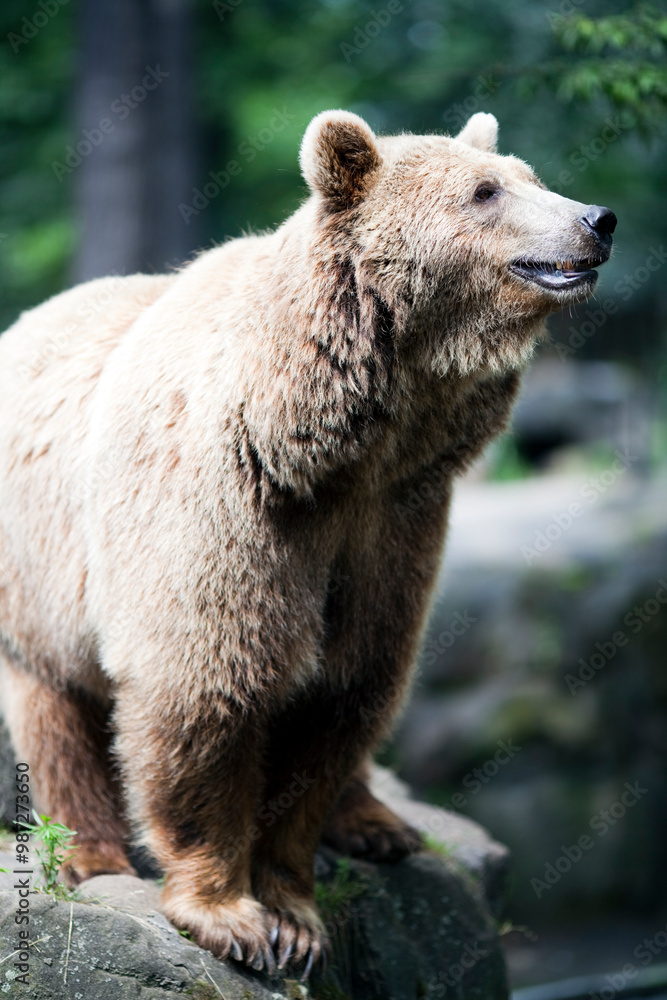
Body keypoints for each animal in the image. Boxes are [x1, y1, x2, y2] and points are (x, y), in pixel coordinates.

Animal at [0, 110, 616, 976]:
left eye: (528, 174)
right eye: (485, 190)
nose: (596, 220)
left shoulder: (392, 526)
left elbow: (345, 690)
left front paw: (293, 909)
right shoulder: (226, 513)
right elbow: (204, 690)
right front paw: (232, 915)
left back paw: (377, 823)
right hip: (39, 571)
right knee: (56, 709)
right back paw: (89, 852)